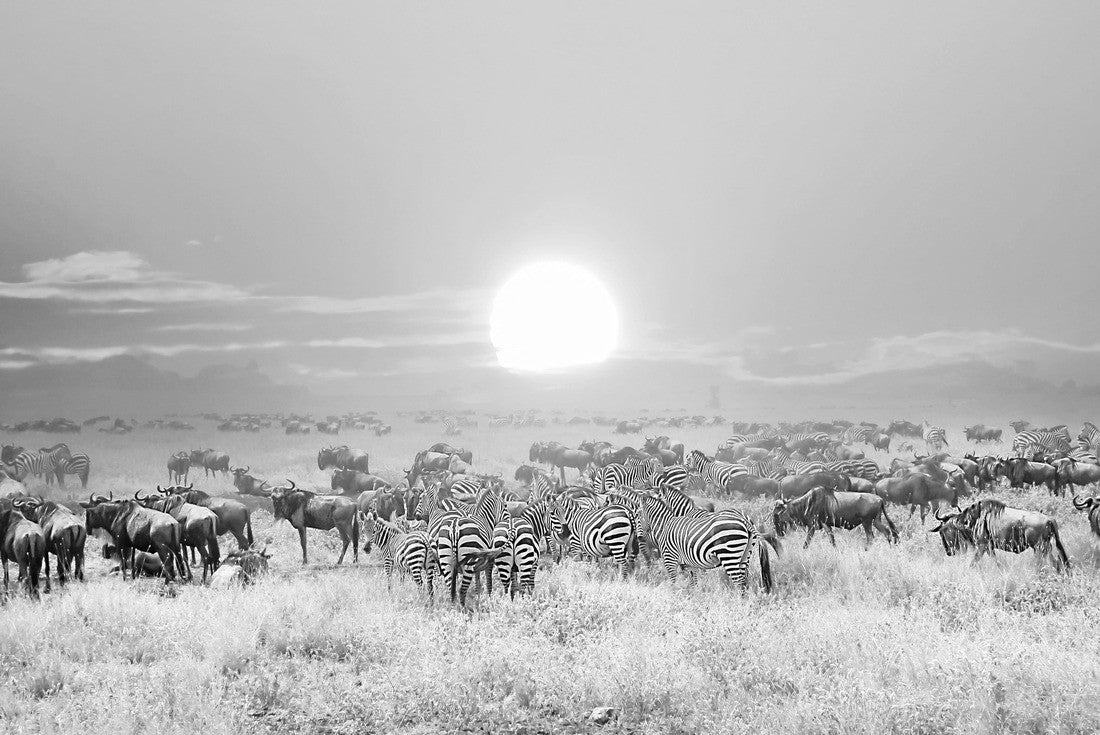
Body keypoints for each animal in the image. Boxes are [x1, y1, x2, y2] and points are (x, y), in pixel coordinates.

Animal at [635, 494, 776, 591]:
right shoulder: (689, 564)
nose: (639, 538)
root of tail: (744, 519)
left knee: (739, 581)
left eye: (637, 515)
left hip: (728, 554)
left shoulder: (670, 559)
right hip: (744, 555)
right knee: (744, 580)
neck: (665, 524)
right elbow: (694, 583)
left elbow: (673, 582)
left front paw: (675, 597)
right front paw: (695, 598)